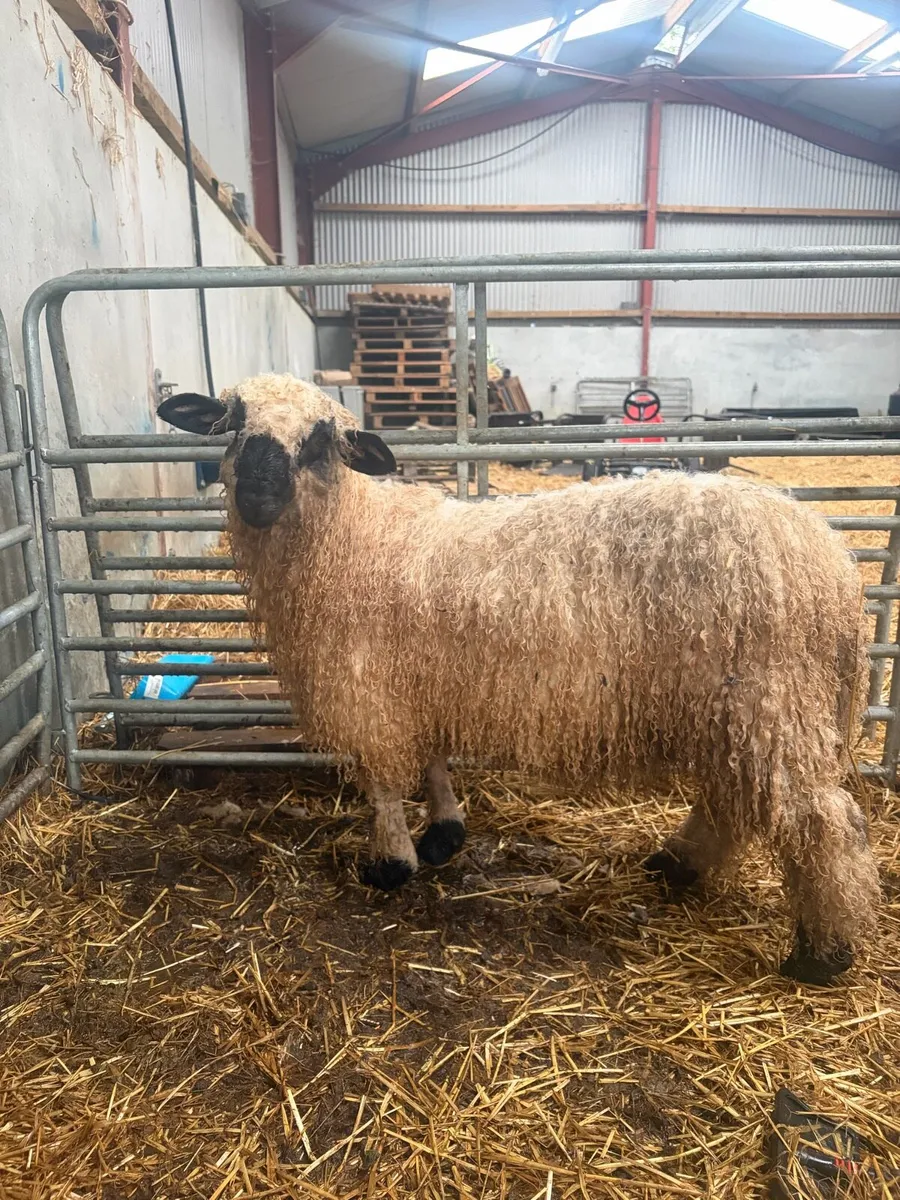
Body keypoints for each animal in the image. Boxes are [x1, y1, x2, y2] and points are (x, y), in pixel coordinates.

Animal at [158, 373, 880, 986]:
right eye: (233, 423)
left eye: (318, 442)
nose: (256, 493)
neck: (351, 540)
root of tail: (831, 562)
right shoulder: (420, 680)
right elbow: (434, 759)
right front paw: (444, 833)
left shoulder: (369, 688)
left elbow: (382, 782)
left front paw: (390, 864)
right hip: (731, 705)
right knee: (734, 801)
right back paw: (679, 866)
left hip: (769, 696)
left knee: (821, 820)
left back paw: (823, 954)